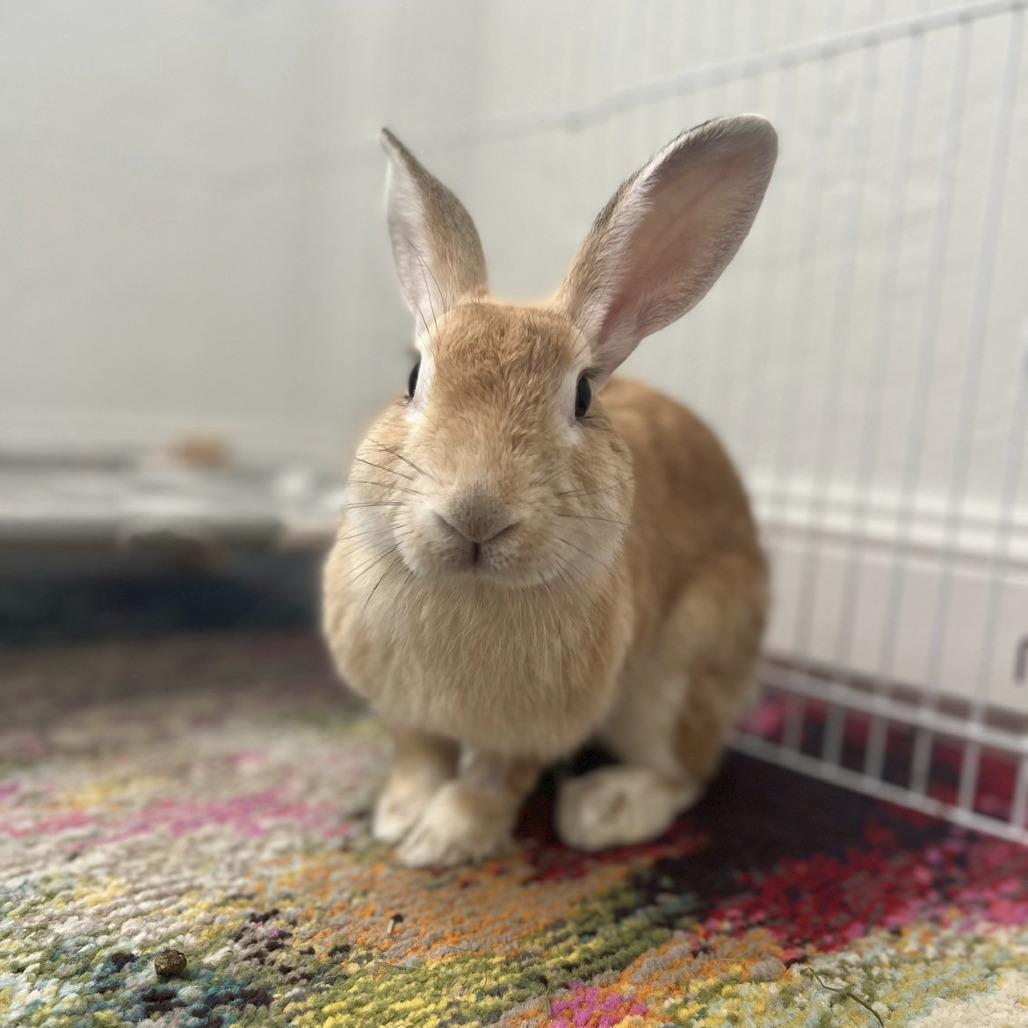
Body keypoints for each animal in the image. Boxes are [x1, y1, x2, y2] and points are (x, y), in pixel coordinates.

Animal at [322, 115, 776, 867]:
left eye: (583, 395)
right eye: (414, 378)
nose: (476, 515)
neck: (473, 590)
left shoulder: (531, 730)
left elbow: (490, 780)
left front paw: (441, 842)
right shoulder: (407, 710)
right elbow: (419, 754)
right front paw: (400, 817)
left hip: (675, 679)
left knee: (685, 771)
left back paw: (604, 810)